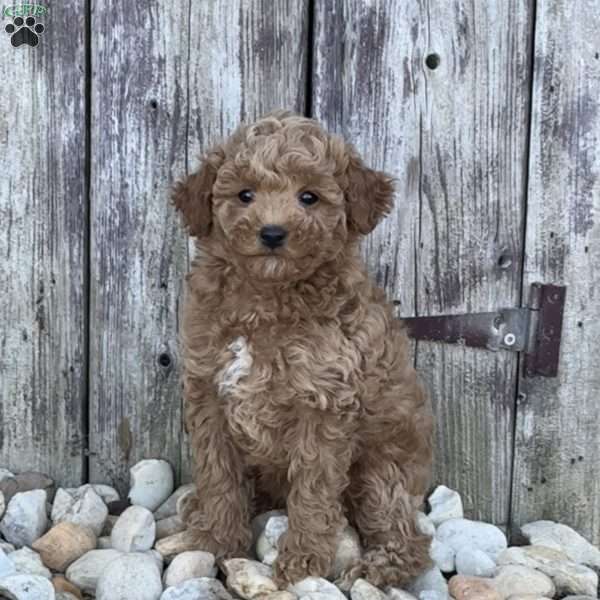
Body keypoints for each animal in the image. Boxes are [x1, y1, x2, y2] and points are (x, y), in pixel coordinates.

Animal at [172, 110, 432, 588]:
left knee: (406, 535)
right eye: (245, 194)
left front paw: (303, 560)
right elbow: (219, 476)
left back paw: (377, 567)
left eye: (308, 197)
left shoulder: (324, 403)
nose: (273, 232)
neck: (265, 297)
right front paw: (218, 540)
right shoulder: (208, 395)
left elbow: (313, 489)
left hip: (381, 474)